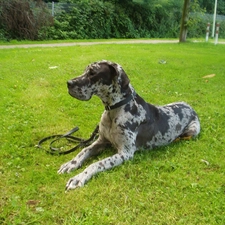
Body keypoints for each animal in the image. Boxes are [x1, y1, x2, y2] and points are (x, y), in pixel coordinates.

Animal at [58, 59, 200, 190]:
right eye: (85, 70)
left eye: (93, 72)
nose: (68, 83)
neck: (114, 111)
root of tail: (190, 107)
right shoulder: (101, 141)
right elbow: (83, 151)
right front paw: (71, 164)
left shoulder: (125, 153)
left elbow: (98, 163)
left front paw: (79, 177)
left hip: (192, 131)